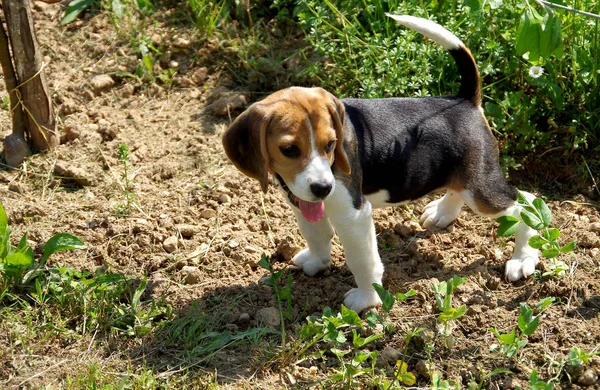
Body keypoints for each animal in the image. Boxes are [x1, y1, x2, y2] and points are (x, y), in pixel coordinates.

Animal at [221, 16, 540, 314]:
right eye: (289, 150)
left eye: (330, 145)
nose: (323, 188)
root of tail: (464, 100)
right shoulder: (304, 203)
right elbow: (317, 235)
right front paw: (317, 262)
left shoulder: (354, 214)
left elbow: (361, 260)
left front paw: (366, 298)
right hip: (465, 177)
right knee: (460, 189)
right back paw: (442, 213)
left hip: (481, 188)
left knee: (524, 202)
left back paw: (523, 257)